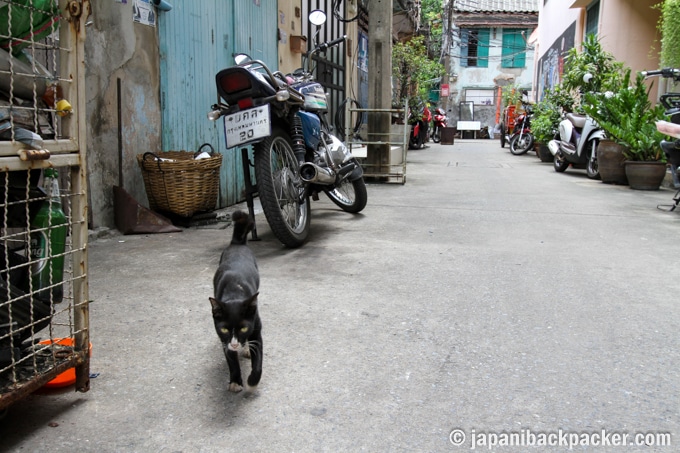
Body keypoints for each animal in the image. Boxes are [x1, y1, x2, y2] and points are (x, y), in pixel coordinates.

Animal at [209, 210, 262, 390]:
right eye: (224, 329)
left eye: (244, 328)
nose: (234, 344)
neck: (234, 293)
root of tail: (237, 244)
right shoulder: (223, 339)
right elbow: (231, 360)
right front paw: (235, 381)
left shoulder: (256, 327)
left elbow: (258, 358)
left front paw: (252, 381)